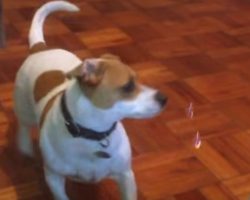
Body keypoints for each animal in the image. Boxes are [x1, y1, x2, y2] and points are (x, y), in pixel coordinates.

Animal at [12, 0, 167, 199]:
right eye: (128, 86)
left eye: (137, 79)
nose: (164, 98)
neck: (94, 134)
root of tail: (40, 48)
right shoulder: (54, 178)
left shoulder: (125, 175)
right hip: (23, 107)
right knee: (24, 125)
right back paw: (24, 147)